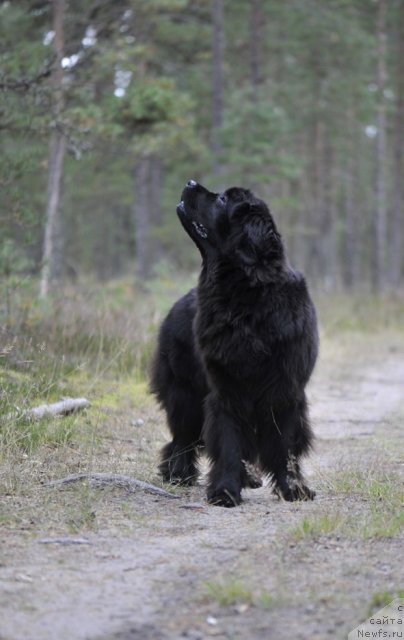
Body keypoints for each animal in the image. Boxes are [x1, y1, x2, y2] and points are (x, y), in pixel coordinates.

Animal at [150, 182, 318, 508]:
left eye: (223, 199)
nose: (190, 183)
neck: (244, 296)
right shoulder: (227, 389)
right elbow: (228, 442)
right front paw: (225, 491)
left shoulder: (285, 390)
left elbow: (286, 445)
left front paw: (292, 488)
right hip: (184, 393)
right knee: (182, 436)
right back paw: (178, 473)